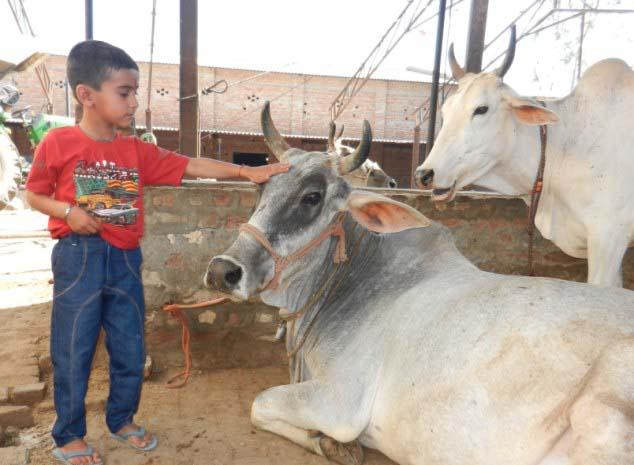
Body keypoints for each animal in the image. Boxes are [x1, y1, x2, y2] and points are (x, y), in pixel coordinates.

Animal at [206, 102, 632, 464]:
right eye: (261, 188)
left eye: (312, 197)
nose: (222, 271)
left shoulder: (338, 403)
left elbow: (259, 404)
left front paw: (333, 445)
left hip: (601, 419)